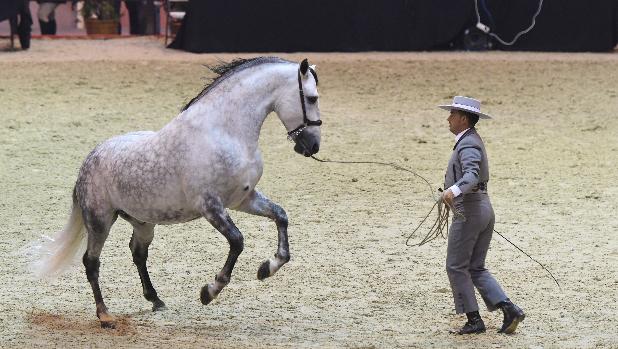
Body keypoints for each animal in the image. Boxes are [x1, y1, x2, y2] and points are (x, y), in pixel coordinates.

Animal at [32, 56, 322, 326]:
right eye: (312, 97)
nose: (313, 146)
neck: (224, 132)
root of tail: (89, 160)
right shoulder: (210, 206)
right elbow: (237, 241)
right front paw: (210, 291)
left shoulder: (243, 199)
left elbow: (280, 216)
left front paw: (267, 268)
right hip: (100, 221)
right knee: (91, 263)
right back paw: (105, 316)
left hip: (143, 222)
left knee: (138, 253)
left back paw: (156, 300)